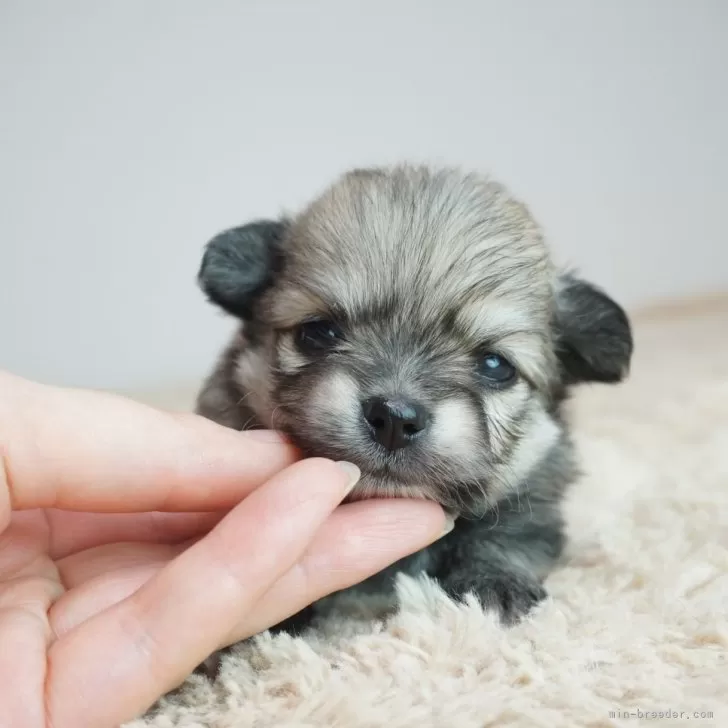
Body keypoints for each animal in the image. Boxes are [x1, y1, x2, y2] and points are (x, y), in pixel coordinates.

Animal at [195, 165, 632, 636]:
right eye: (318, 333)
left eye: (496, 365)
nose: (394, 417)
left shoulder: (533, 497)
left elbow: (506, 536)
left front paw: (495, 583)